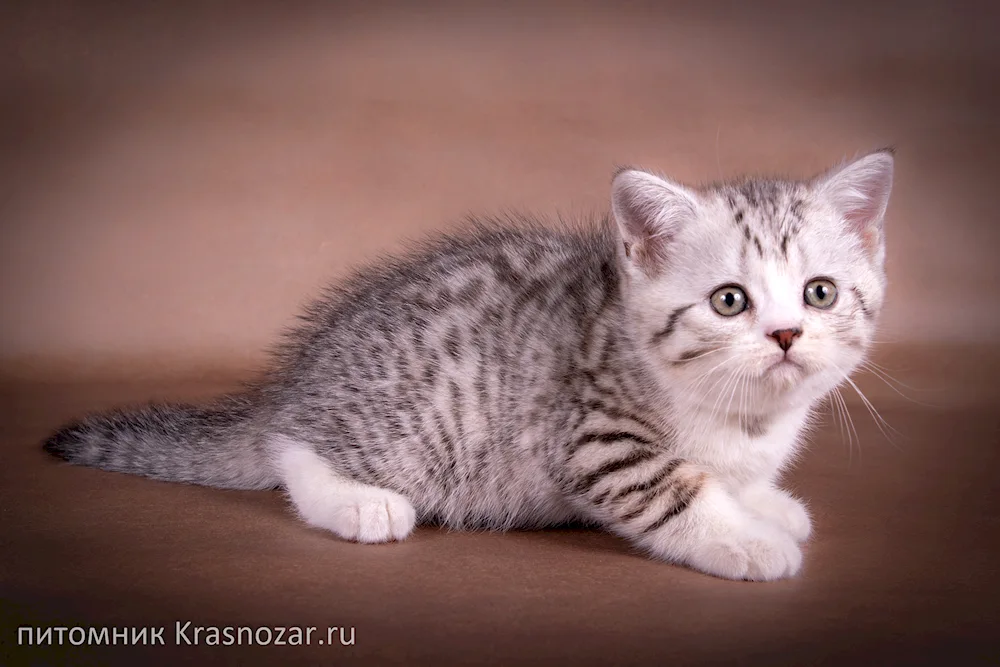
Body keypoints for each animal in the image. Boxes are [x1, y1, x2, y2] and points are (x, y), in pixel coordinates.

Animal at [43, 150, 896, 580]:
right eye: (728, 301)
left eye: (820, 293)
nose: (785, 335)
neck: (742, 416)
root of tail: (298, 375)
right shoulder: (596, 435)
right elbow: (676, 492)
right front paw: (746, 537)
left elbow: (738, 479)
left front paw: (766, 502)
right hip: (410, 427)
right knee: (289, 446)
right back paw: (358, 501)